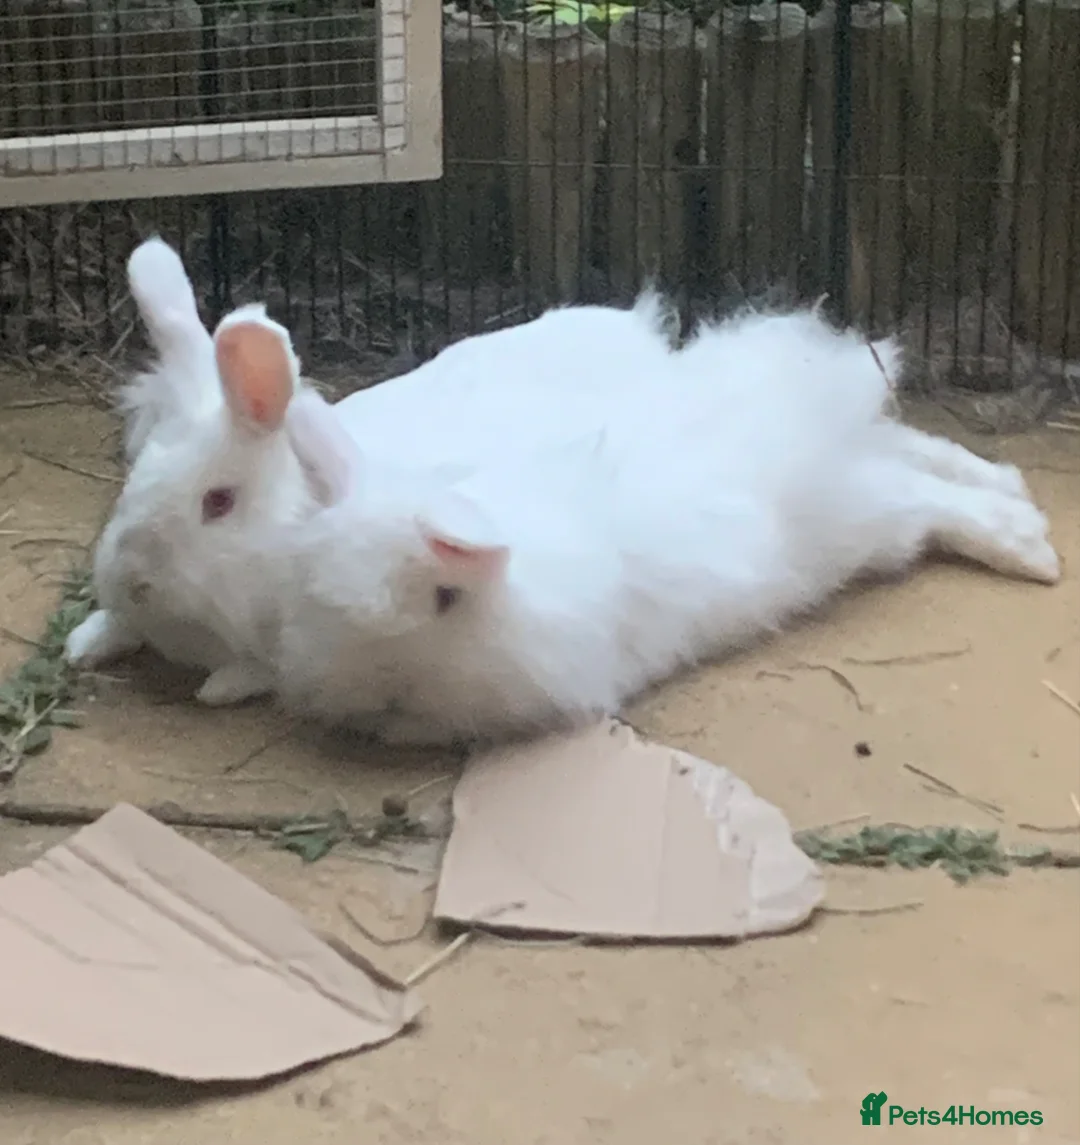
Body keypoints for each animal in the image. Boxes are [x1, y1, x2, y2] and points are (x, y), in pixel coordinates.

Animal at [63, 236, 679, 704]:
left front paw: (220, 686)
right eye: (133, 480)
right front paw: (83, 644)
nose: (132, 581)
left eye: (219, 502)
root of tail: (638, 327)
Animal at [263, 306, 1061, 747]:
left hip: (857, 521)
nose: (375, 701)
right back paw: (1015, 495)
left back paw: (1031, 549)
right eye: (326, 602)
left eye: (445, 599)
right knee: (917, 456)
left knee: (929, 500)